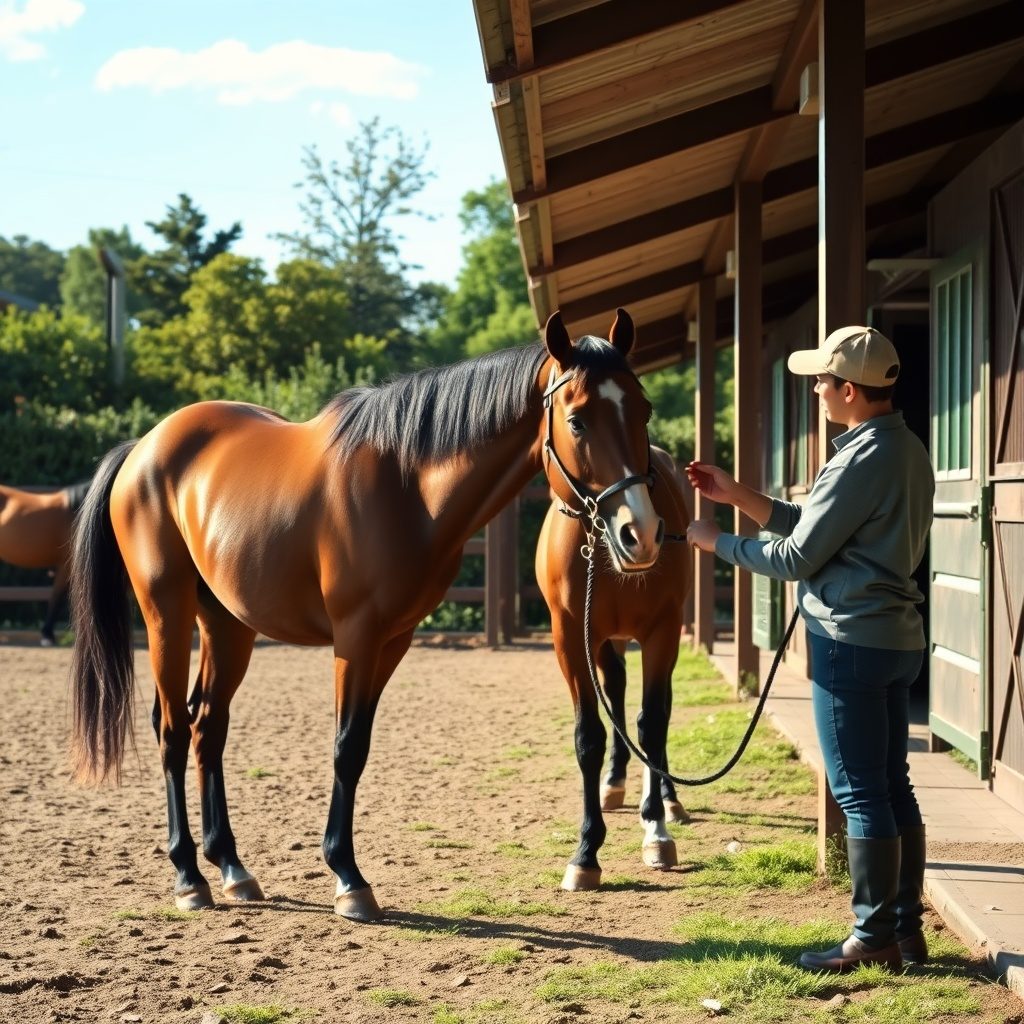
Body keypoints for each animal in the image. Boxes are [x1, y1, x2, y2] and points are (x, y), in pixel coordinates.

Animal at [69, 308, 663, 921]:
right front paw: (348, 878)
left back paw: (232, 868)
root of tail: (143, 447)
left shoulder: (392, 639)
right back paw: (188, 875)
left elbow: (359, 746)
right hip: (167, 612)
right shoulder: (355, 636)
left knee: (209, 726)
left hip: (228, 625)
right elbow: (346, 747)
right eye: (577, 421)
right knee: (172, 729)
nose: (639, 534)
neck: (406, 486)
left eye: (642, 410)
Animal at [536, 445, 691, 890]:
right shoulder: (575, 637)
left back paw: (669, 798)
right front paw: (586, 854)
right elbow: (590, 736)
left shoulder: (663, 630)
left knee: (658, 709)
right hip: (607, 642)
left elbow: (652, 723)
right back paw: (614, 782)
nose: (640, 536)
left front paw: (656, 828)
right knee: (618, 689)